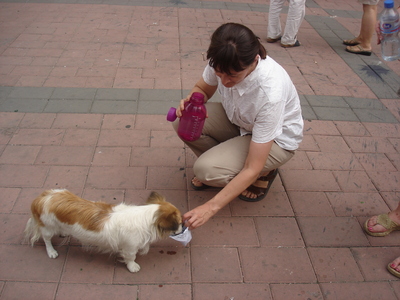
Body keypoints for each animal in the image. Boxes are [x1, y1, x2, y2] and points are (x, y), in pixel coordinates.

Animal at [23, 190, 183, 272]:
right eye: (179, 223)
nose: (184, 226)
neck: (146, 216)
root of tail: (43, 197)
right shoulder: (130, 247)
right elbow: (131, 258)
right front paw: (133, 267)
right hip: (47, 228)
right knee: (46, 240)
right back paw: (51, 252)